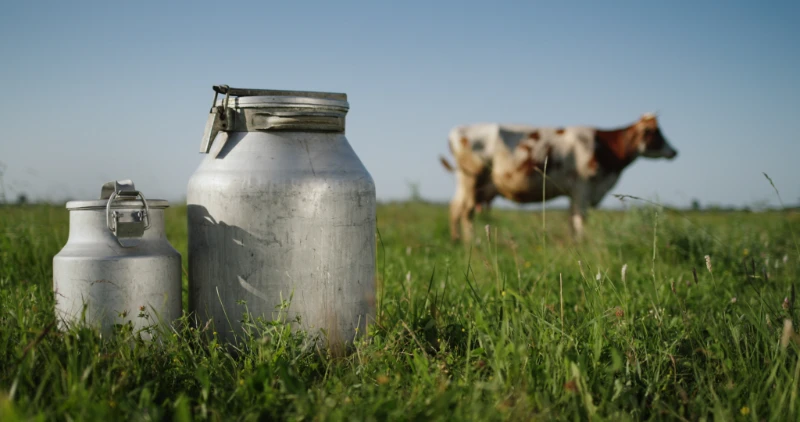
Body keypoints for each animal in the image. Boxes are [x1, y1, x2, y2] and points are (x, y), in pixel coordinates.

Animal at [439, 113, 678, 242]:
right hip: (472, 179)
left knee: (455, 208)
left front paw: (575, 242)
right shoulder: (584, 188)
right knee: (466, 212)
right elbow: (581, 218)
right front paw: (582, 242)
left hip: (466, 183)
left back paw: (456, 240)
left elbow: (572, 218)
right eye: (657, 133)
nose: (674, 151)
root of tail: (459, 129)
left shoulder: (575, 192)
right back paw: (473, 242)